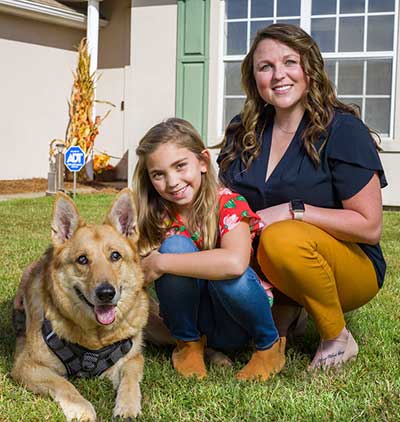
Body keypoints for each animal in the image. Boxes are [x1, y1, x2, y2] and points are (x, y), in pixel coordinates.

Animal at [13, 190, 150, 422]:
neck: (96, 339)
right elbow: (63, 383)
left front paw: (127, 406)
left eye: (115, 256)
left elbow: (130, 380)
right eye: (82, 259)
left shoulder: (133, 359)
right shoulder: (26, 365)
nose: (106, 294)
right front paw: (81, 407)